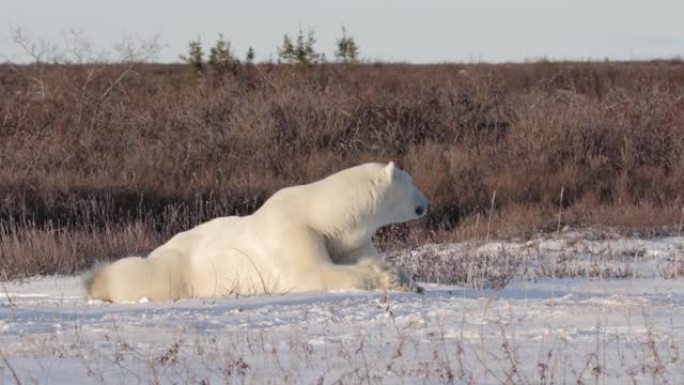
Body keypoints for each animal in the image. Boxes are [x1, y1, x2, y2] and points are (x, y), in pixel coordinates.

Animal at [85, 160, 428, 302]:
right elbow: (313, 273)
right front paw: (388, 277)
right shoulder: (292, 234)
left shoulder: (348, 241)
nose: (425, 203)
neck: (325, 216)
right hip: (179, 269)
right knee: (143, 274)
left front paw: (405, 278)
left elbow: (363, 258)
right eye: (412, 182)